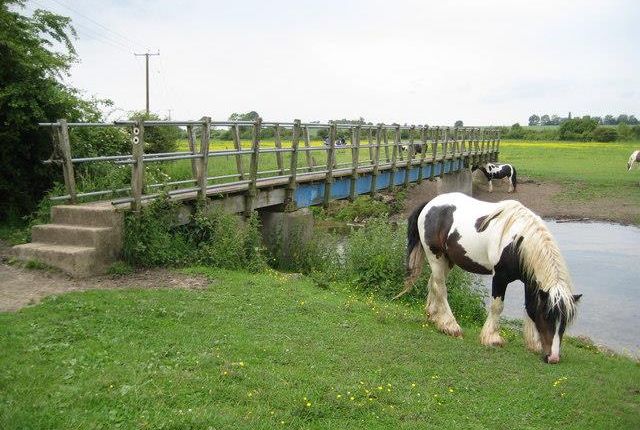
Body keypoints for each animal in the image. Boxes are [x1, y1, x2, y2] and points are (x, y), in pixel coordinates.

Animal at [396, 193, 580, 364]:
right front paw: (492, 338)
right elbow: (497, 307)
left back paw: (435, 317)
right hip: (436, 257)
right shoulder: (500, 277)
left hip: (447, 260)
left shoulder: (529, 281)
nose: (553, 357)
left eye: (565, 320)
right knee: (441, 289)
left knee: (433, 284)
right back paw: (451, 326)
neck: (517, 242)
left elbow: (529, 307)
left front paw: (533, 343)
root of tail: (430, 204)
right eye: (547, 316)